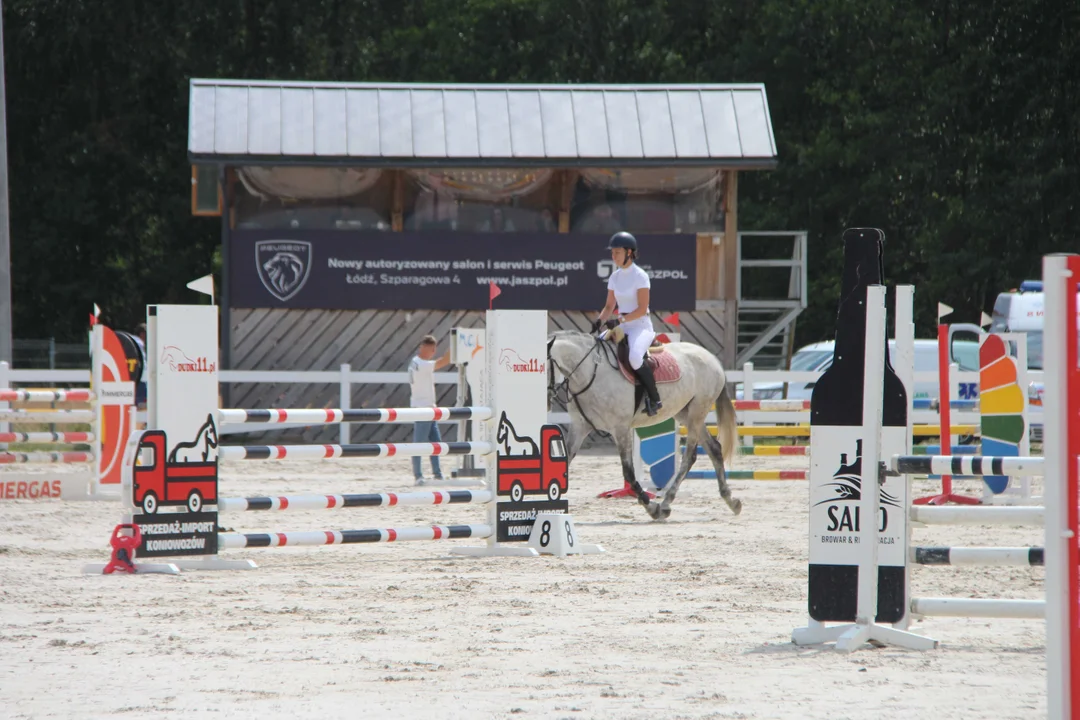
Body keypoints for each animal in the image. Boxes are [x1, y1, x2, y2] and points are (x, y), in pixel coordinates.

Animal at [548, 330, 743, 520]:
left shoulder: (621, 429)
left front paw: (652, 508)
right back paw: (731, 501)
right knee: (714, 449)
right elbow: (565, 462)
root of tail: (712, 358)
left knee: (689, 457)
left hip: (697, 413)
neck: (591, 373)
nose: (547, 403)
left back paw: (666, 503)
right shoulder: (579, 427)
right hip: (686, 414)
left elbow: (629, 472)